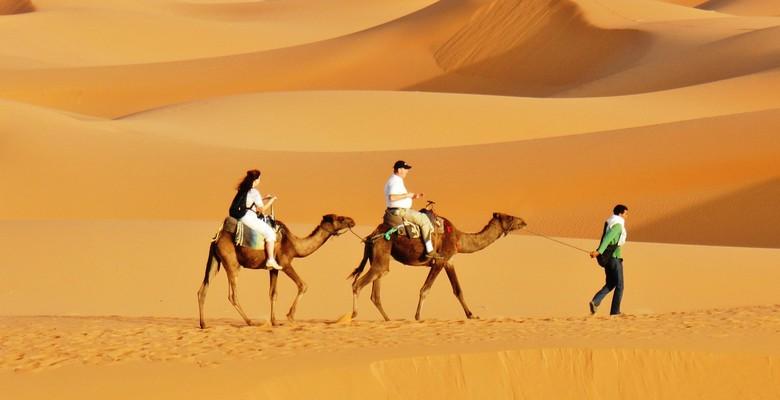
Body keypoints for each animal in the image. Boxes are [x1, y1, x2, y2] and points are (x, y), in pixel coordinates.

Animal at [197, 214, 354, 330]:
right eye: (340, 218)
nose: (352, 221)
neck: (295, 245)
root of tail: (217, 238)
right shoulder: (285, 263)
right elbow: (303, 285)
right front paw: (290, 316)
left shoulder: (274, 268)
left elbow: (273, 293)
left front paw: (275, 321)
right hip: (232, 263)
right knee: (232, 295)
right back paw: (250, 322)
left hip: (215, 261)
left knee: (202, 290)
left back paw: (203, 324)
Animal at [350, 212, 528, 322]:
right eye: (509, 217)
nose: (524, 222)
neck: (459, 239)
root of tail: (371, 236)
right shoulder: (440, 260)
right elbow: (425, 289)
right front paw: (418, 316)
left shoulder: (449, 261)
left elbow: (458, 290)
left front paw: (471, 315)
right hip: (381, 254)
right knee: (358, 284)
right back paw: (353, 315)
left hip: (378, 259)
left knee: (375, 292)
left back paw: (388, 319)